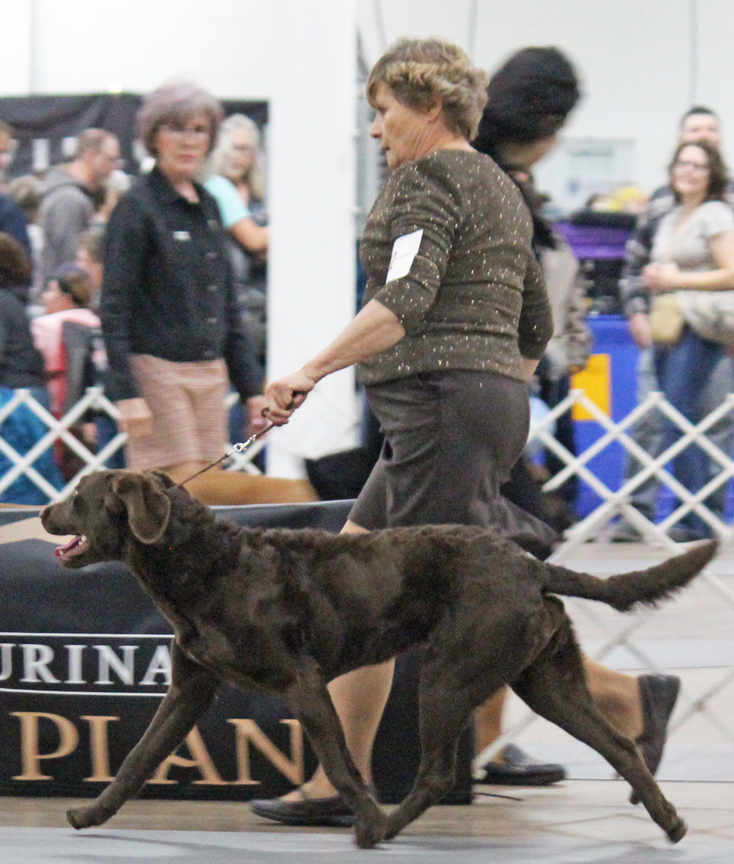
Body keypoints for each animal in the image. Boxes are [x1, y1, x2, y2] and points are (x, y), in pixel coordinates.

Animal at [41, 469, 717, 848]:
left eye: (77, 495)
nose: (44, 511)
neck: (206, 561)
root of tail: (530, 563)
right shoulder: (188, 689)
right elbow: (137, 758)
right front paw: (89, 814)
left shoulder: (303, 683)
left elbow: (342, 764)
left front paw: (365, 823)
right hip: (545, 679)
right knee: (621, 746)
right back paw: (672, 822)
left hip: (448, 677)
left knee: (438, 773)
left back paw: (387, 828)